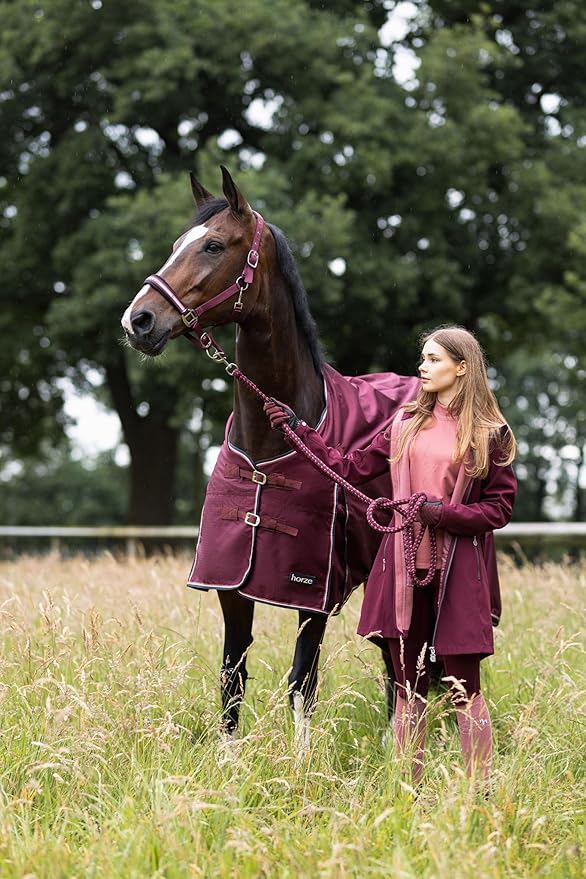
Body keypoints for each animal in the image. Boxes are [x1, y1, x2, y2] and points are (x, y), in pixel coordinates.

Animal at [121, 166, 419, 746]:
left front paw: (300, 761)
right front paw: (227, 758)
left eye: (214, 245)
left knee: (405, 657)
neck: (274, 438)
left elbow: (302, 680)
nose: (138, 320)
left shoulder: (312, 595)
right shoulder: (230, 587)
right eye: (177, 244)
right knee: (392, 661)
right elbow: (231, 677)